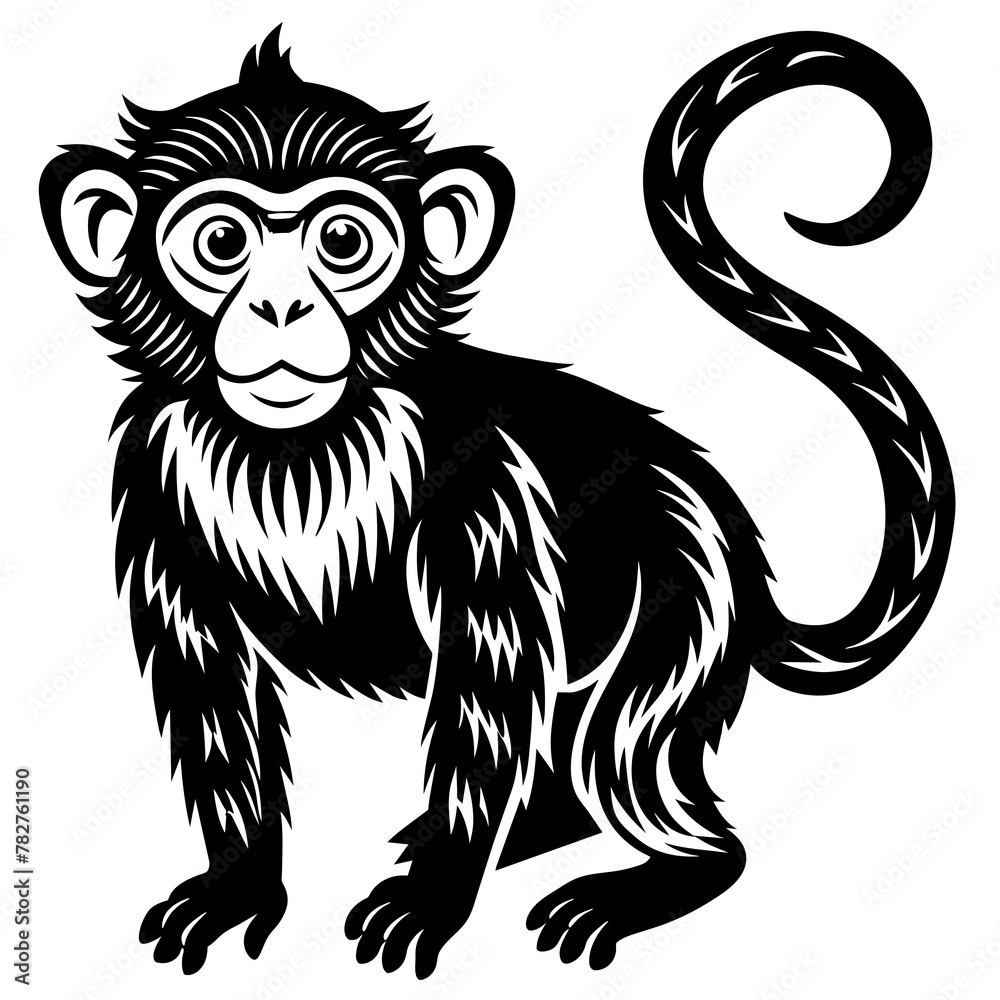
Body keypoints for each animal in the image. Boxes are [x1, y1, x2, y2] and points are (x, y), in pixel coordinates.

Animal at [40, 26, 953, 977]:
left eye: (342, 240)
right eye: (221, 240)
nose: (281, 306)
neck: (296, 445)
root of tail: (748, 568)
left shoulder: (478, 473)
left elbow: (489, 675)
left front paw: (434, 894)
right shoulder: (152, 470)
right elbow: (208, 679)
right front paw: (238, 883)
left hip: (687, 593)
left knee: (621, 752)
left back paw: (657, 871)